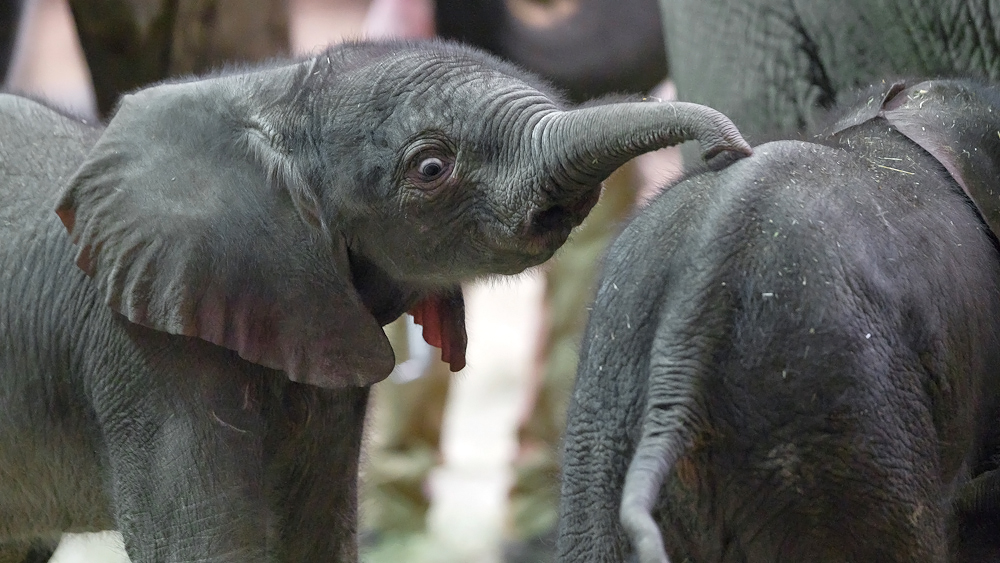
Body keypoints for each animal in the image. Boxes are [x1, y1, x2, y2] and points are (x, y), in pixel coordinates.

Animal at [0, 40, 752, 563]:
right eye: (431, 168)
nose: (732, 148)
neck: (273, 92)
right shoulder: (150, 360)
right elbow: (208, 545)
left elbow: (315, 535)